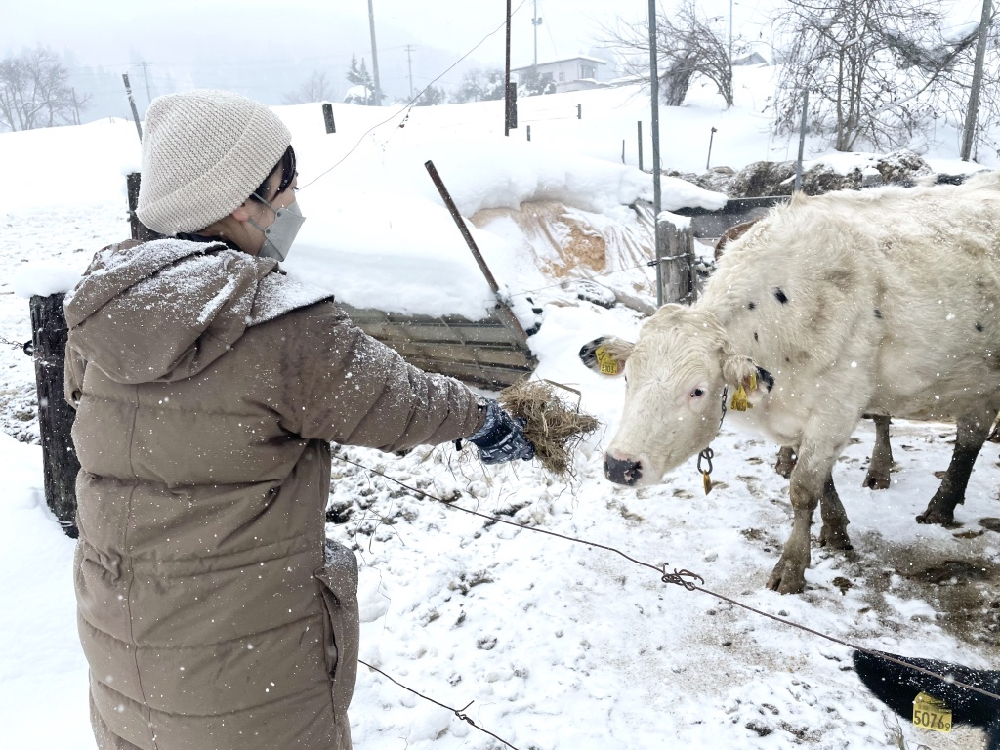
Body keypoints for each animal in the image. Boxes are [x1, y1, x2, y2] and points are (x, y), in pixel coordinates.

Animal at [580, 173, 1000, 596]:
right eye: (628, 378)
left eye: (697, 389)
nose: (619, 465)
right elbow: (821, 482)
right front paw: (835, 529)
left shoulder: (836, 408)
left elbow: (803, 489)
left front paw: (792, 566)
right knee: (971, 436)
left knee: (968, 438)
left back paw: (938, 507)